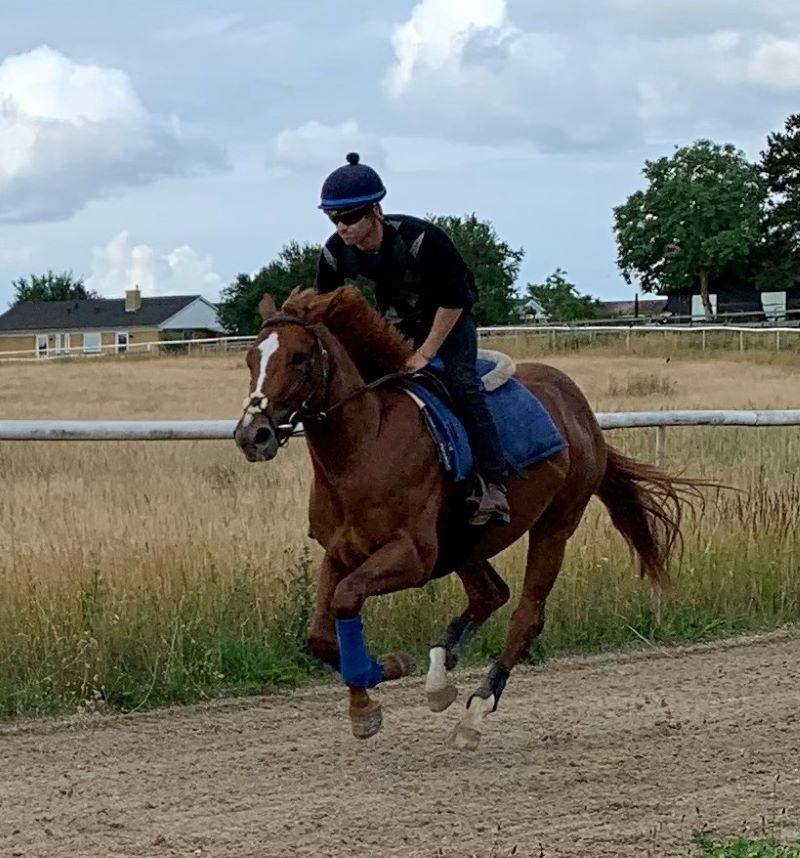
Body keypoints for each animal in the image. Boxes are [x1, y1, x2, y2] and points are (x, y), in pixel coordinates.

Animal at [233, 284, 700, 744]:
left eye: (298, 357)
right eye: (251, 357)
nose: (252, 435)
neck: (365, 447)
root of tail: (580, 408)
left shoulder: (414, 557)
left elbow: (347, 598)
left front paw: (372, 692)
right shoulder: (342, 550)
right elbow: (320, 634)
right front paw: (376, 685)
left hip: (555, 525)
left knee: (526, 615)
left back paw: (475, 710)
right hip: (465, 542)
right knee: (490, 593)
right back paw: (441, 676)